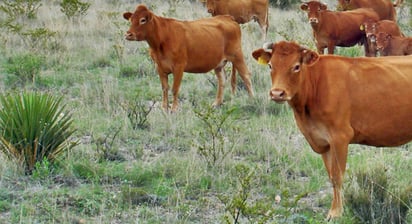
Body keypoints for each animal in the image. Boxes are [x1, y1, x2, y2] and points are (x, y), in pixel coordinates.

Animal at [122, 4, 253, 114]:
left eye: (142, 20)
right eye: (131, 20)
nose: (128, 34)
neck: (161, 42)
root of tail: (227, 17)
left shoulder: (179, 66)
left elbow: (174, 89)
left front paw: (174, 109)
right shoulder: (159, 67)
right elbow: (165, 88)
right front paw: (164, 108)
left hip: (237, 55)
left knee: (246, 76)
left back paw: (252, 99)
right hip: (219, 64)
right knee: (222, 81)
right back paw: (216, 103)